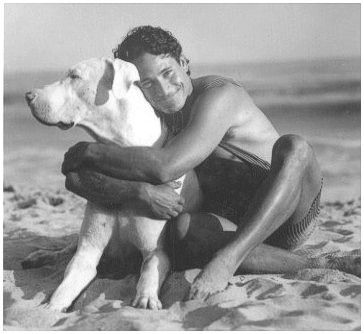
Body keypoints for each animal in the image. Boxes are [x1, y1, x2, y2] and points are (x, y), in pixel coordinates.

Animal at [25, 56, 200, 310]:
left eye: (74, 76)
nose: (28, 95)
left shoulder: (156, 250)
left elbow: (150, 270)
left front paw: (146, 298)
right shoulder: (88, 251)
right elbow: (67, 284)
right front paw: (51, 308)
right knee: (69, 247)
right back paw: (41, 255)